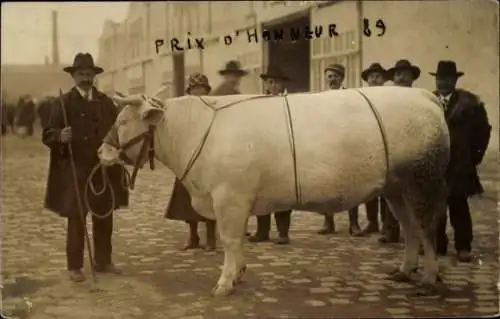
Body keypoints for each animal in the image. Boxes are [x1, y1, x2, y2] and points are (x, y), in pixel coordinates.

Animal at [99, 87, 452, 298]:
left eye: (123, 121)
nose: (101, 151)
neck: (195, 131)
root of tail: (426, 96)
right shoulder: (235, 200)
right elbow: (237, 241)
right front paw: (238, 273)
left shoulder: (229, 197)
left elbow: (230, 240)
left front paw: (224, 283)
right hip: (395, 187)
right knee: (410, 229)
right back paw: (404, 271)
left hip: (421, 182)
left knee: (426, 229)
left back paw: (427, 278)